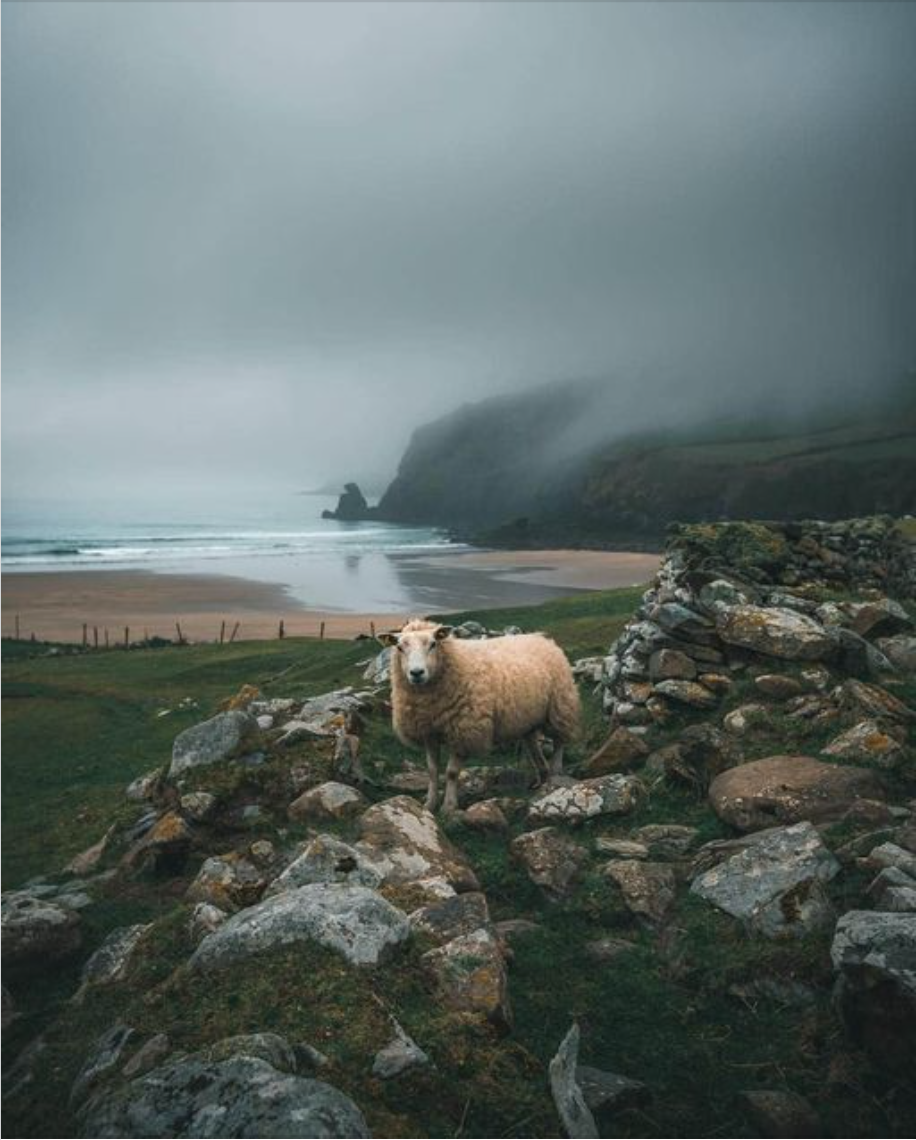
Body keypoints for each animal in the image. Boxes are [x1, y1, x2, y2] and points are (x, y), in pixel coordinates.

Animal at [378, 618, 581, 813]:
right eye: (399, 647)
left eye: (433, 644)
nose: (417, 673)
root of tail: (543, 638)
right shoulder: (429, 732)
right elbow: (432, 770)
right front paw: (429, 804)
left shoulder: (462, 729)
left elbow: (451, 772)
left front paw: (449, 807)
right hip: (528, 718)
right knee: (533, 745)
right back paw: (542, 777)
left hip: (560, 706)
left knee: (559, 742)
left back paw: (555, 773)